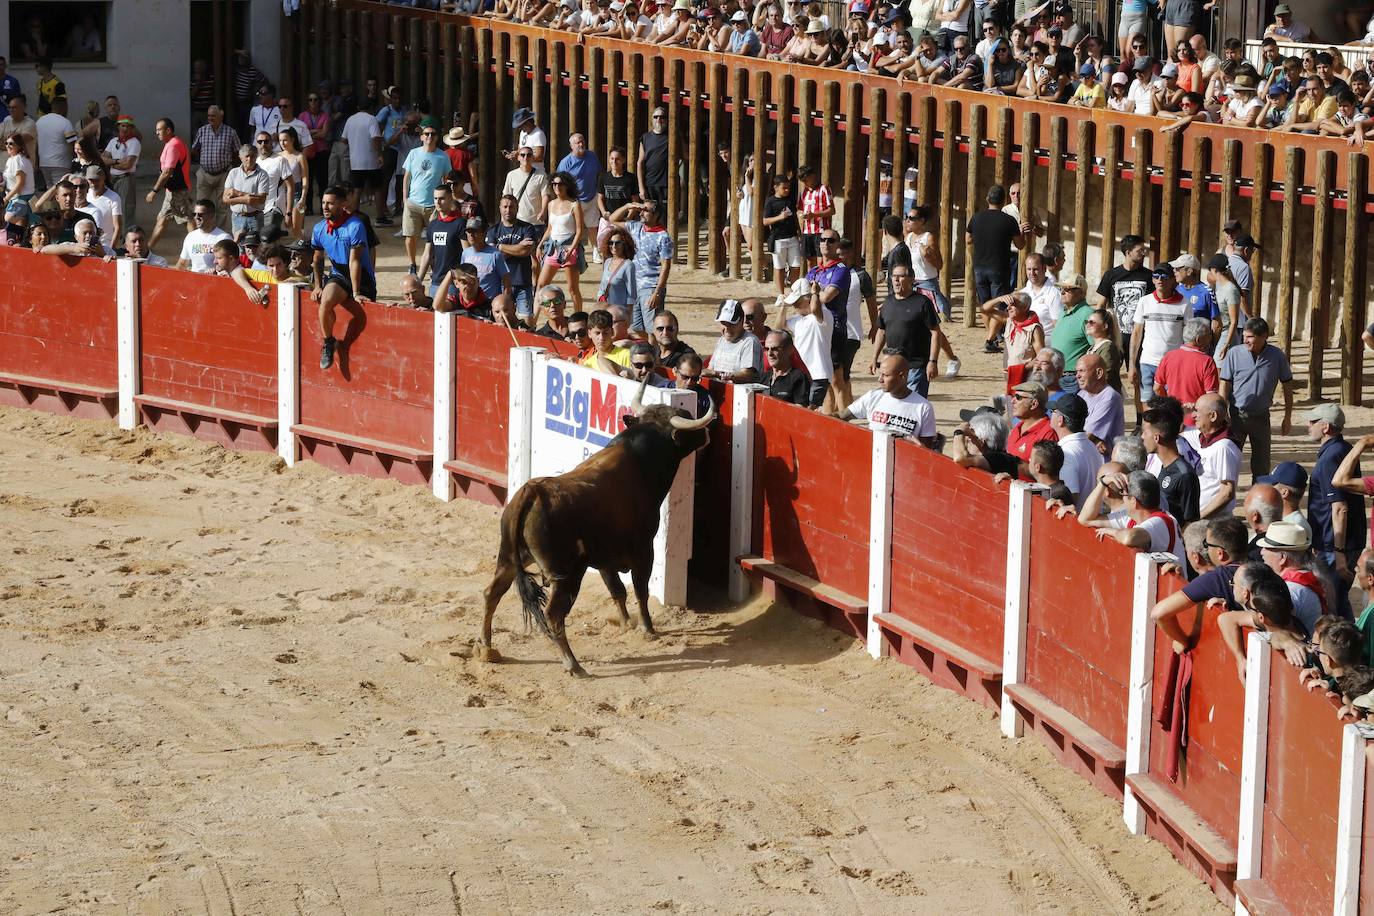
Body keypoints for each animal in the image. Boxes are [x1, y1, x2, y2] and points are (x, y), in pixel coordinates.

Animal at [480, 379, 719, 672]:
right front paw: (647, 629)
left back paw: (486, 648)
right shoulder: (644, 548)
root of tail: (531, 492)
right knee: (553, 613)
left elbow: (617, 590)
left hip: (509, 558)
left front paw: (626, 624)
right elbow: (640, 589)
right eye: (687, 421)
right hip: (567, 573)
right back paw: (573, 664)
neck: (641, 462)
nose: (706, 432)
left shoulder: (604, 557)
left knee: (491, 593)